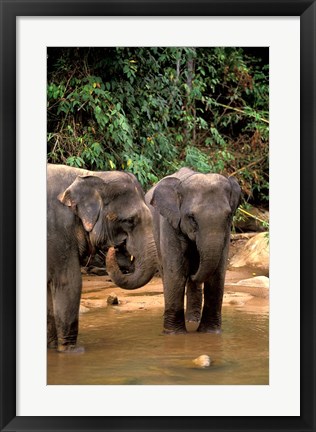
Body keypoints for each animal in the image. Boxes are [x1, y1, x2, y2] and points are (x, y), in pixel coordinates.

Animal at [47, 164, 158, 352]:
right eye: (129, 221)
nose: (115, 248)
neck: (90, 175)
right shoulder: (58, 230)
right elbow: (69, 283)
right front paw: (73, 352)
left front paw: (53, 349)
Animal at [146, 167, 242, 332]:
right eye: (191, 217)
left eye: (229, 215)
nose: (191, 273)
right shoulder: (169, 224)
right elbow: (175, 274)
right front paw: (174, 334)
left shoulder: (226, 232)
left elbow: (217, 274)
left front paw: (211, 332)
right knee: (165, 272)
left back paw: (192, 321)